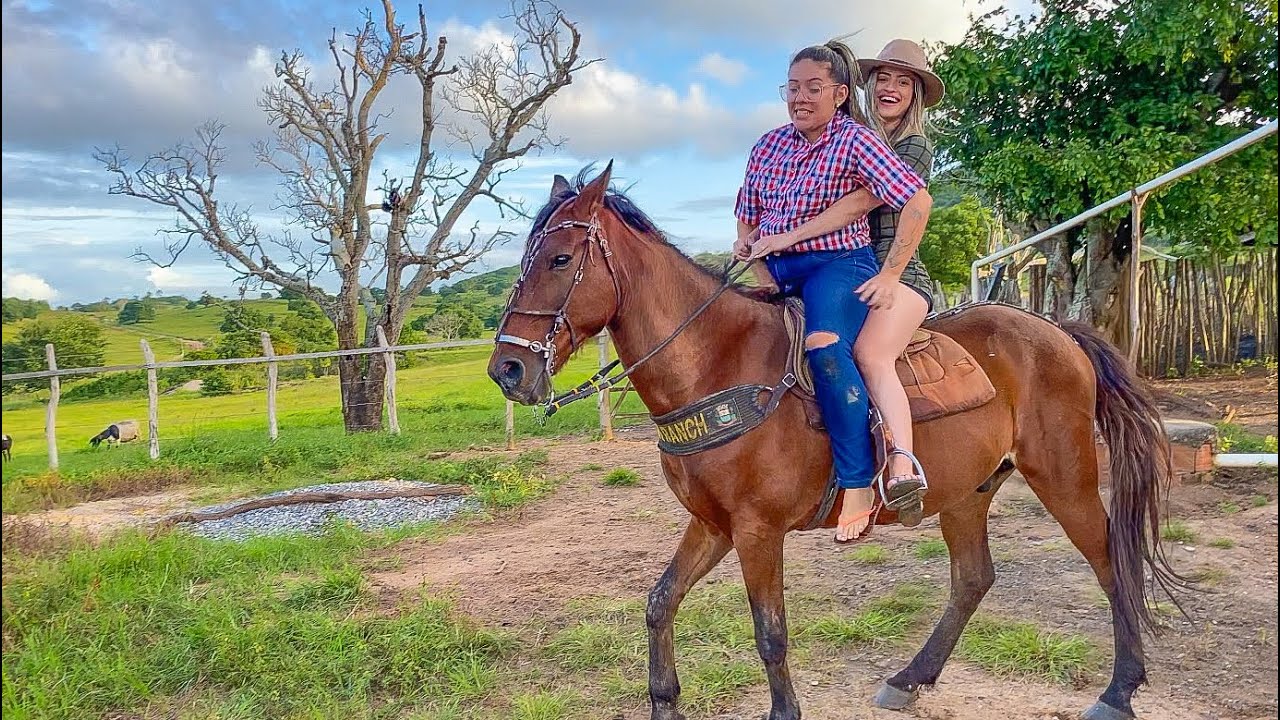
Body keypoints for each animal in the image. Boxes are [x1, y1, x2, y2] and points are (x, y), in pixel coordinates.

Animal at [488, 165, 1179, 720]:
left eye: (558, 260)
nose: (508, 371)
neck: (717, 363)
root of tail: (1057, 330)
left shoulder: (757, 530)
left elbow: (770, 634)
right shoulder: (712, 524)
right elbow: (660, 602)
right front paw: (664, 702)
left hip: (1064, 477)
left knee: (1111, 562)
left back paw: (1119, 691)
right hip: (967, 492)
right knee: (973, 579)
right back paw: (911, 678)